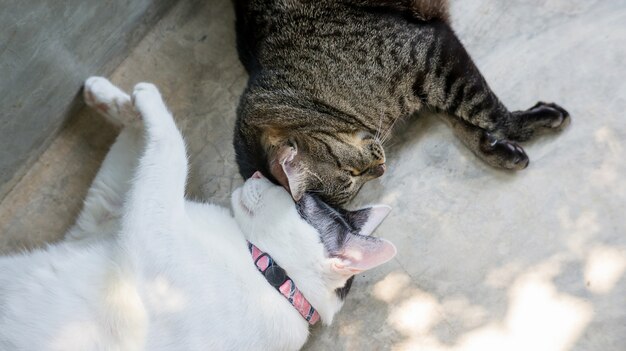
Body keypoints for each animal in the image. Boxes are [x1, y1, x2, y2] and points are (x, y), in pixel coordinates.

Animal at [0, 78, 398, 350]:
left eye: (298, 202)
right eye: (286, 188)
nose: (257, 174)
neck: (273, 276)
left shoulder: (150, 228)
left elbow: (171, 146)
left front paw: (145, 95)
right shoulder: (103, 215)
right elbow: (134, 146)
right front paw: (111, 98)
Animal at [232, 0, 568, 206]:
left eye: (351, 174)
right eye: (354, 186)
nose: (380, 170)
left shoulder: (431, 51)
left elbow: (487, 110)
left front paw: (527, 123)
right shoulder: (431, 80)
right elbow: (462, 119)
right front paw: (495, 149)